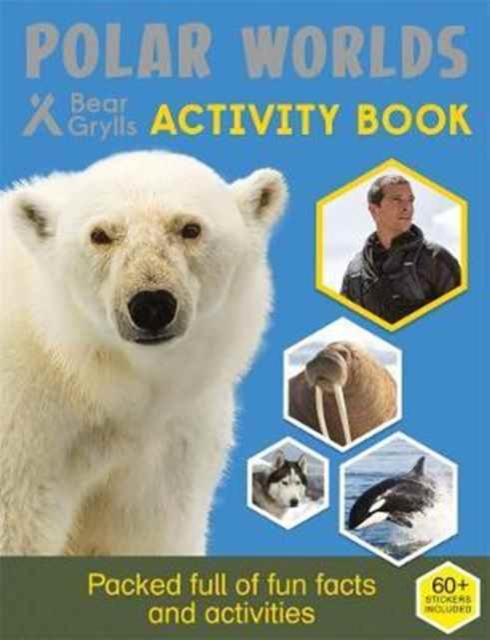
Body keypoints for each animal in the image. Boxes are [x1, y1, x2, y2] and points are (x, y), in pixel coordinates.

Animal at [0, 150, 287, 555]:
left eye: (190, 228)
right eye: (100, 235)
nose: (151, 305)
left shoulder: (171, 444)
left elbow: (146, 532)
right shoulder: (26, 435)